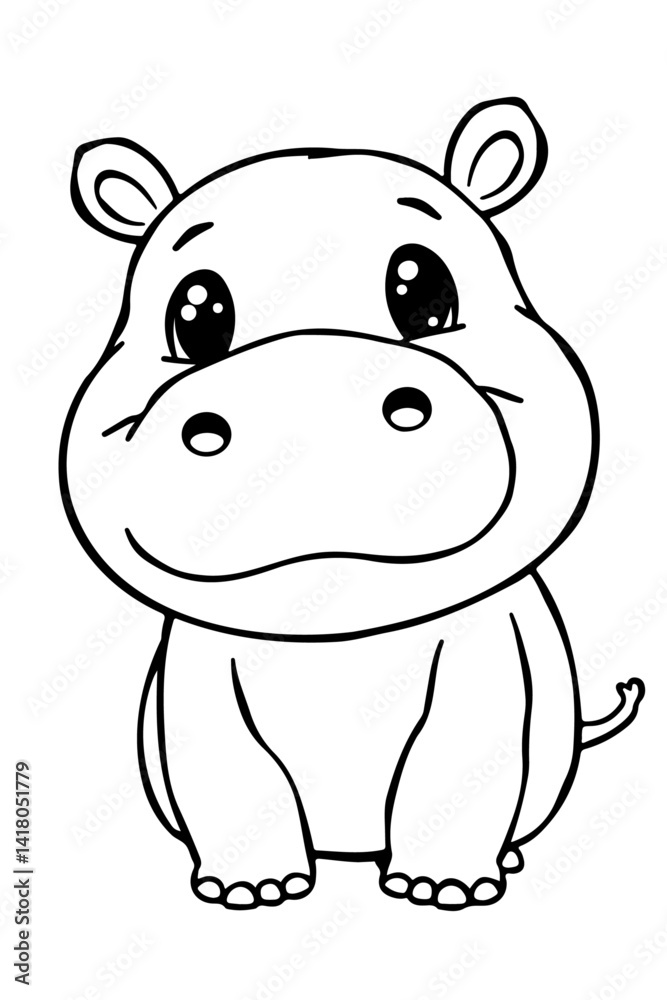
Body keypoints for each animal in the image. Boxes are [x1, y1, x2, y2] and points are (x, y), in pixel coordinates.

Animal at [61, 98, 644, 911]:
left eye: (423, 291)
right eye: (196, 315)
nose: (309, 401)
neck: (335, 635)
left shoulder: (482, 649)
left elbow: (456, 754)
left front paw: (443, 889)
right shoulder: (197, 666)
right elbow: (228, 765)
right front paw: (250, 891)